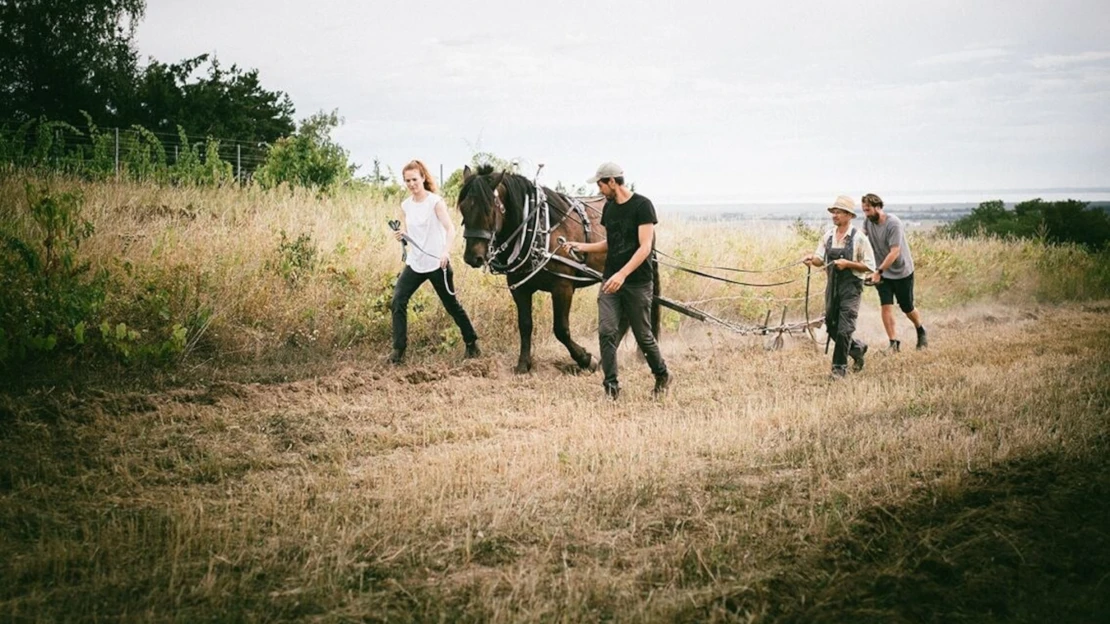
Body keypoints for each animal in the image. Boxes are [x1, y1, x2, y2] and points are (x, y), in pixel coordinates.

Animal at [457, 163, 657, 370]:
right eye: (463, 208)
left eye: (489, 209)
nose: (472, 257)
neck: (537, 229)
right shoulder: (519, 288)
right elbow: (525, 325)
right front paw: (523, 364)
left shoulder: (563, 287)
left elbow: (561, 329)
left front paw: (585, 359)